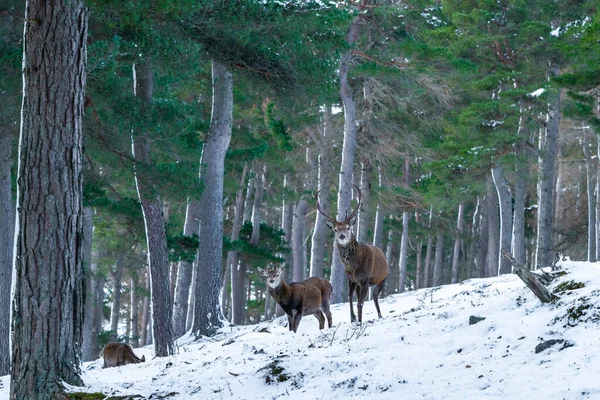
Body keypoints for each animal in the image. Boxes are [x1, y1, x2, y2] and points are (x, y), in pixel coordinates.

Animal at [316, 183, 392, 324]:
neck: (353, 267)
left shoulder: (365, 279)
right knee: (368, 297)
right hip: (360, 284)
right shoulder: (352, 280)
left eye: (348, 227)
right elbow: (350, 298)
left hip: (382, 278)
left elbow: (360, 302)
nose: (341, 236)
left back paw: (379, 315)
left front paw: (360, 320)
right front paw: (353, 318)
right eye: (335, 229)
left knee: (374, 296)